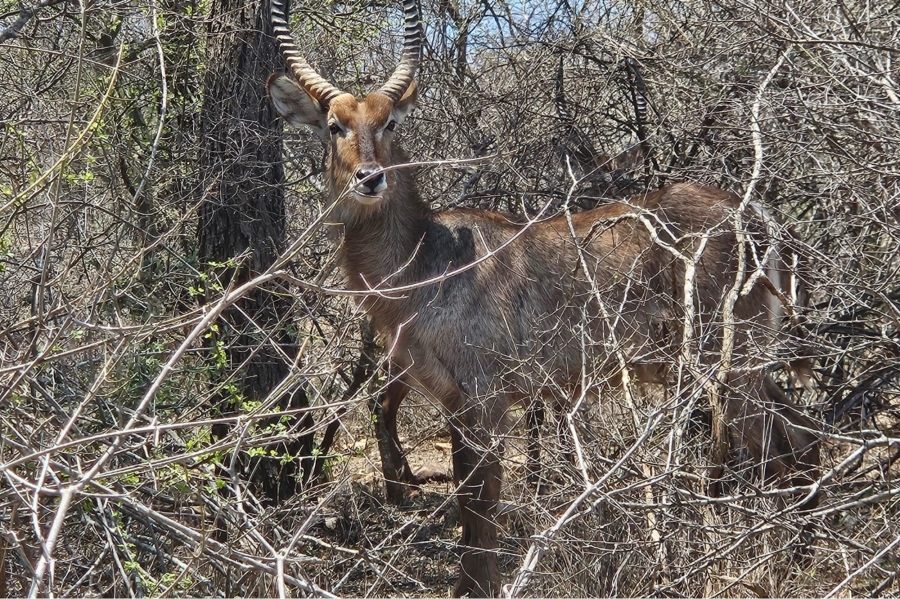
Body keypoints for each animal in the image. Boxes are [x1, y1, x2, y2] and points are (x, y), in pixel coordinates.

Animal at [264, 0, 820, 592]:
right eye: (334, 126)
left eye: (389, 122)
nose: (370, 178)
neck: (424, 257)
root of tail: (757, 212)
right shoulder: (452, 398)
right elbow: (468, 503)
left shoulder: (484, 397)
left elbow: (481, 509)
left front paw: (479, 588)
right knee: (805, 437)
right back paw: (799, 555)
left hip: (726, 363)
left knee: (789, 447)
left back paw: (788, 562)